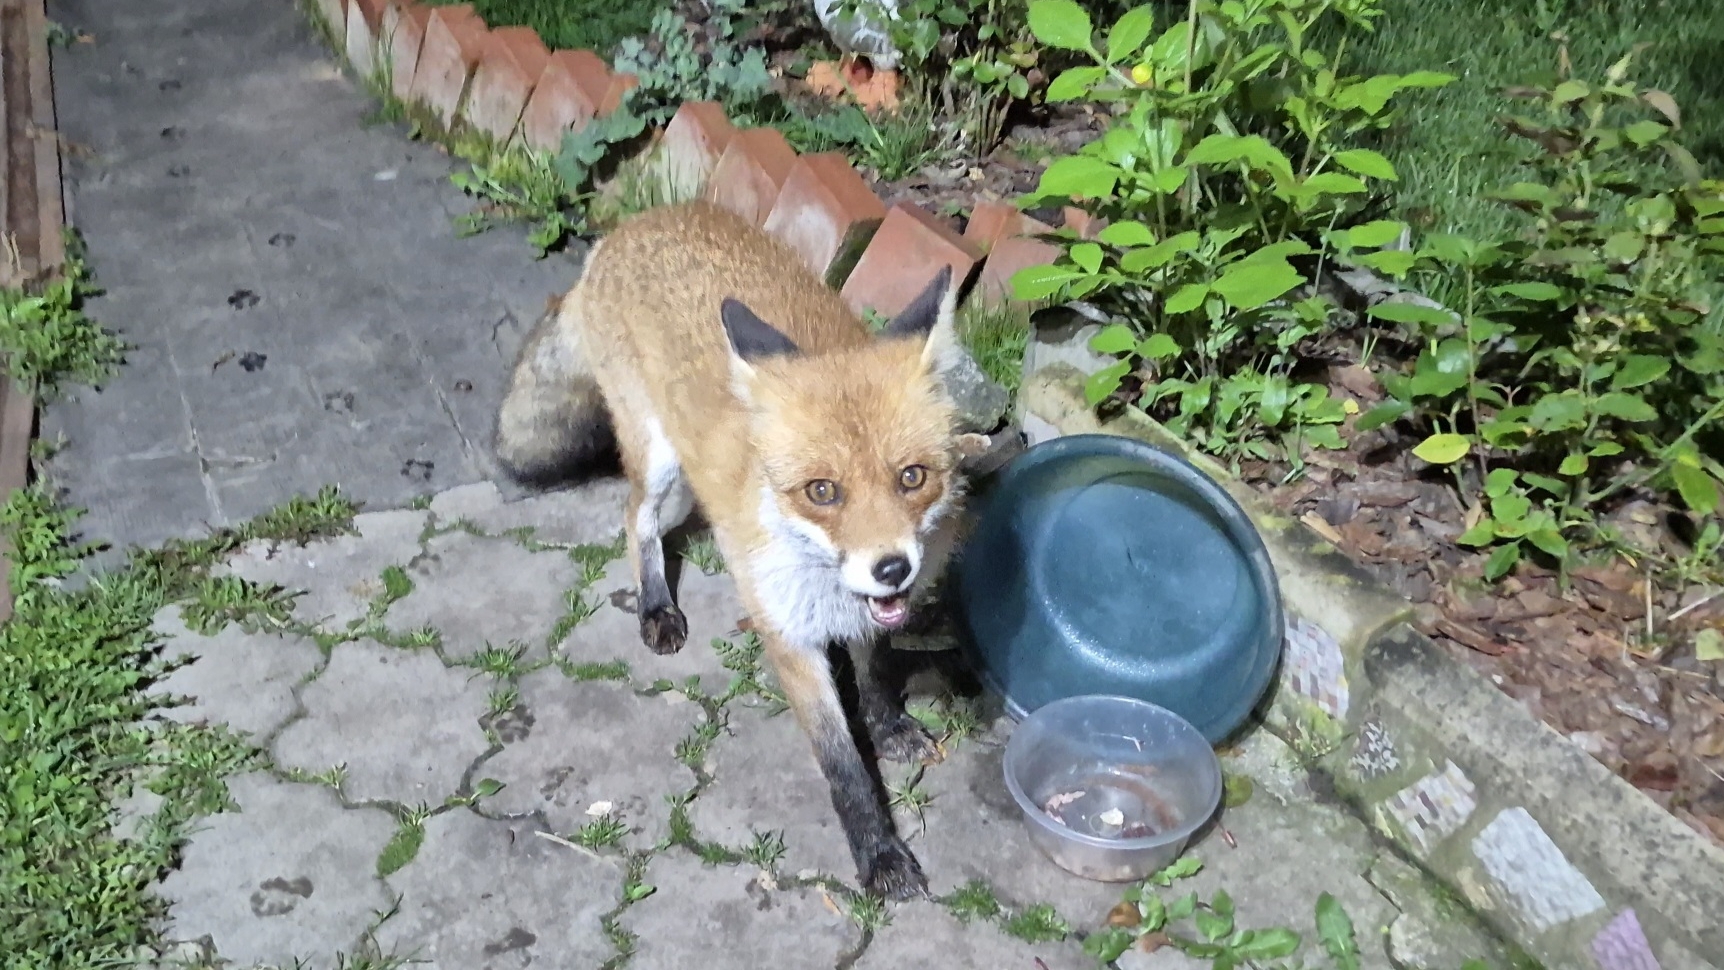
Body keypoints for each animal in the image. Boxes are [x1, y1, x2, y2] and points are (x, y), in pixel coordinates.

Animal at [493, 200, 973, 899]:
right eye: (822, 491)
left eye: (913, 477)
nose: (891, 568)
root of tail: (632, 227)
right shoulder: (790, 640)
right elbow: (843, 768)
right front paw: (879, 854)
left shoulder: (868, 613)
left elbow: (877, 671)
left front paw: (887, 727)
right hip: (656, 458)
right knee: (634, 519)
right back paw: (655, 606)